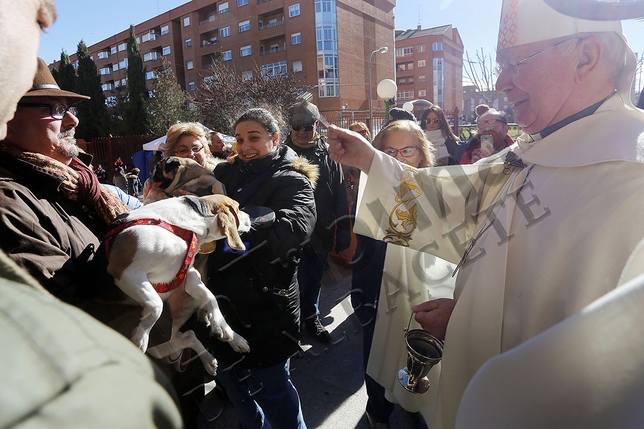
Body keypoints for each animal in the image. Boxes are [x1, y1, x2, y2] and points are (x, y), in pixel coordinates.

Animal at [107, 192, 250, 372]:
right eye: (237, 208)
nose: (250, 217)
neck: (187, 224)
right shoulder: (124, 270)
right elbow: (156, 305)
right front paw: (141, 337)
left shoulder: (187, 275)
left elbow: (210, 297)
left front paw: (221, 325)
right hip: (161, 347)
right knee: (188, 336)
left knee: (190, 336)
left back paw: (229, 343)